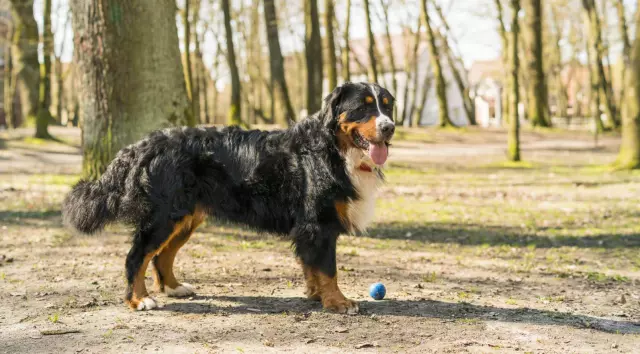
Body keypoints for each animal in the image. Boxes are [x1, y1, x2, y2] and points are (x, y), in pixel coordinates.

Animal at [62, 81, 398, 314]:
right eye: (363, 107)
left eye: (386, 106)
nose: (390, 127)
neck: (333, 149)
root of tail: (143, 144)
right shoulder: (318, 222)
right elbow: (328, 269)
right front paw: (338, 302)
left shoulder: (311, 228)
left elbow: (312, 266)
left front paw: (316, 296)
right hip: (163, 216)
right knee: (137, 257)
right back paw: (139, 300)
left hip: (184, 218)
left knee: (161, 256)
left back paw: (174, 288)